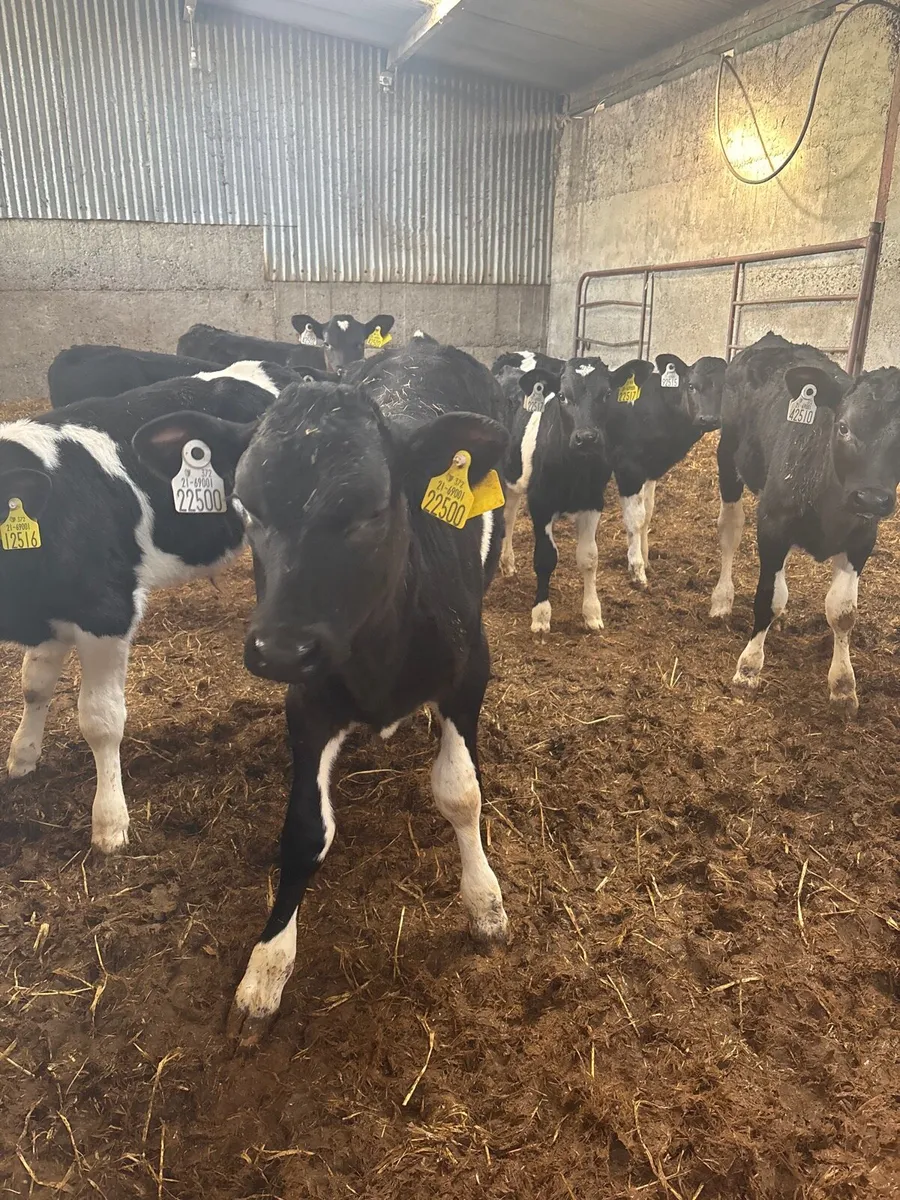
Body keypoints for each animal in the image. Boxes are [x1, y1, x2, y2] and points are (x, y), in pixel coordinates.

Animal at [0, 375, 273, 852]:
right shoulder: (50, 616)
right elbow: (33, 686)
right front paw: (22, 757)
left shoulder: (106, 612)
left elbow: (100, 720)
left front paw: (110, 822)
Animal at [133, 341, 509, 1043]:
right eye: (246, 507)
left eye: (371, 510)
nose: (281, 648)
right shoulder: (307, 703)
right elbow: (306, 829)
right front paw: (266, 969)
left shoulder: (469, 674)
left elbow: (461, 792)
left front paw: (485, 902)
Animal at [498, 355, 654, 634]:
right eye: (562, 395)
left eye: (606, 394)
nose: (587, 438)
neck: (575, 471)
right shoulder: (540, 502)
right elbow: (545, 558)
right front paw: (541, 616)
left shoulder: (593, 502)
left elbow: (589, 557)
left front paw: (592, 613)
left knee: (510, 516)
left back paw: (508, 564)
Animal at [607, 353, 726, 588]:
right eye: (691, 385)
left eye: (724, 386)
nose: (708, 419)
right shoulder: (629, 468)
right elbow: (635, 518)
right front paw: (637, 570)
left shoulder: (650, 469)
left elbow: (648, 512)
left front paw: (646, 561)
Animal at [709, 332, 900, 713]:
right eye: (843, 427)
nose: (872, 499)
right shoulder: (772, 524)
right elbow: (766, 597)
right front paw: (748, 667)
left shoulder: (862, 539)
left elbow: (842, 611)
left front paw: (843, 686)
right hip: (728, 458)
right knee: (730, 530)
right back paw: (722, 600)